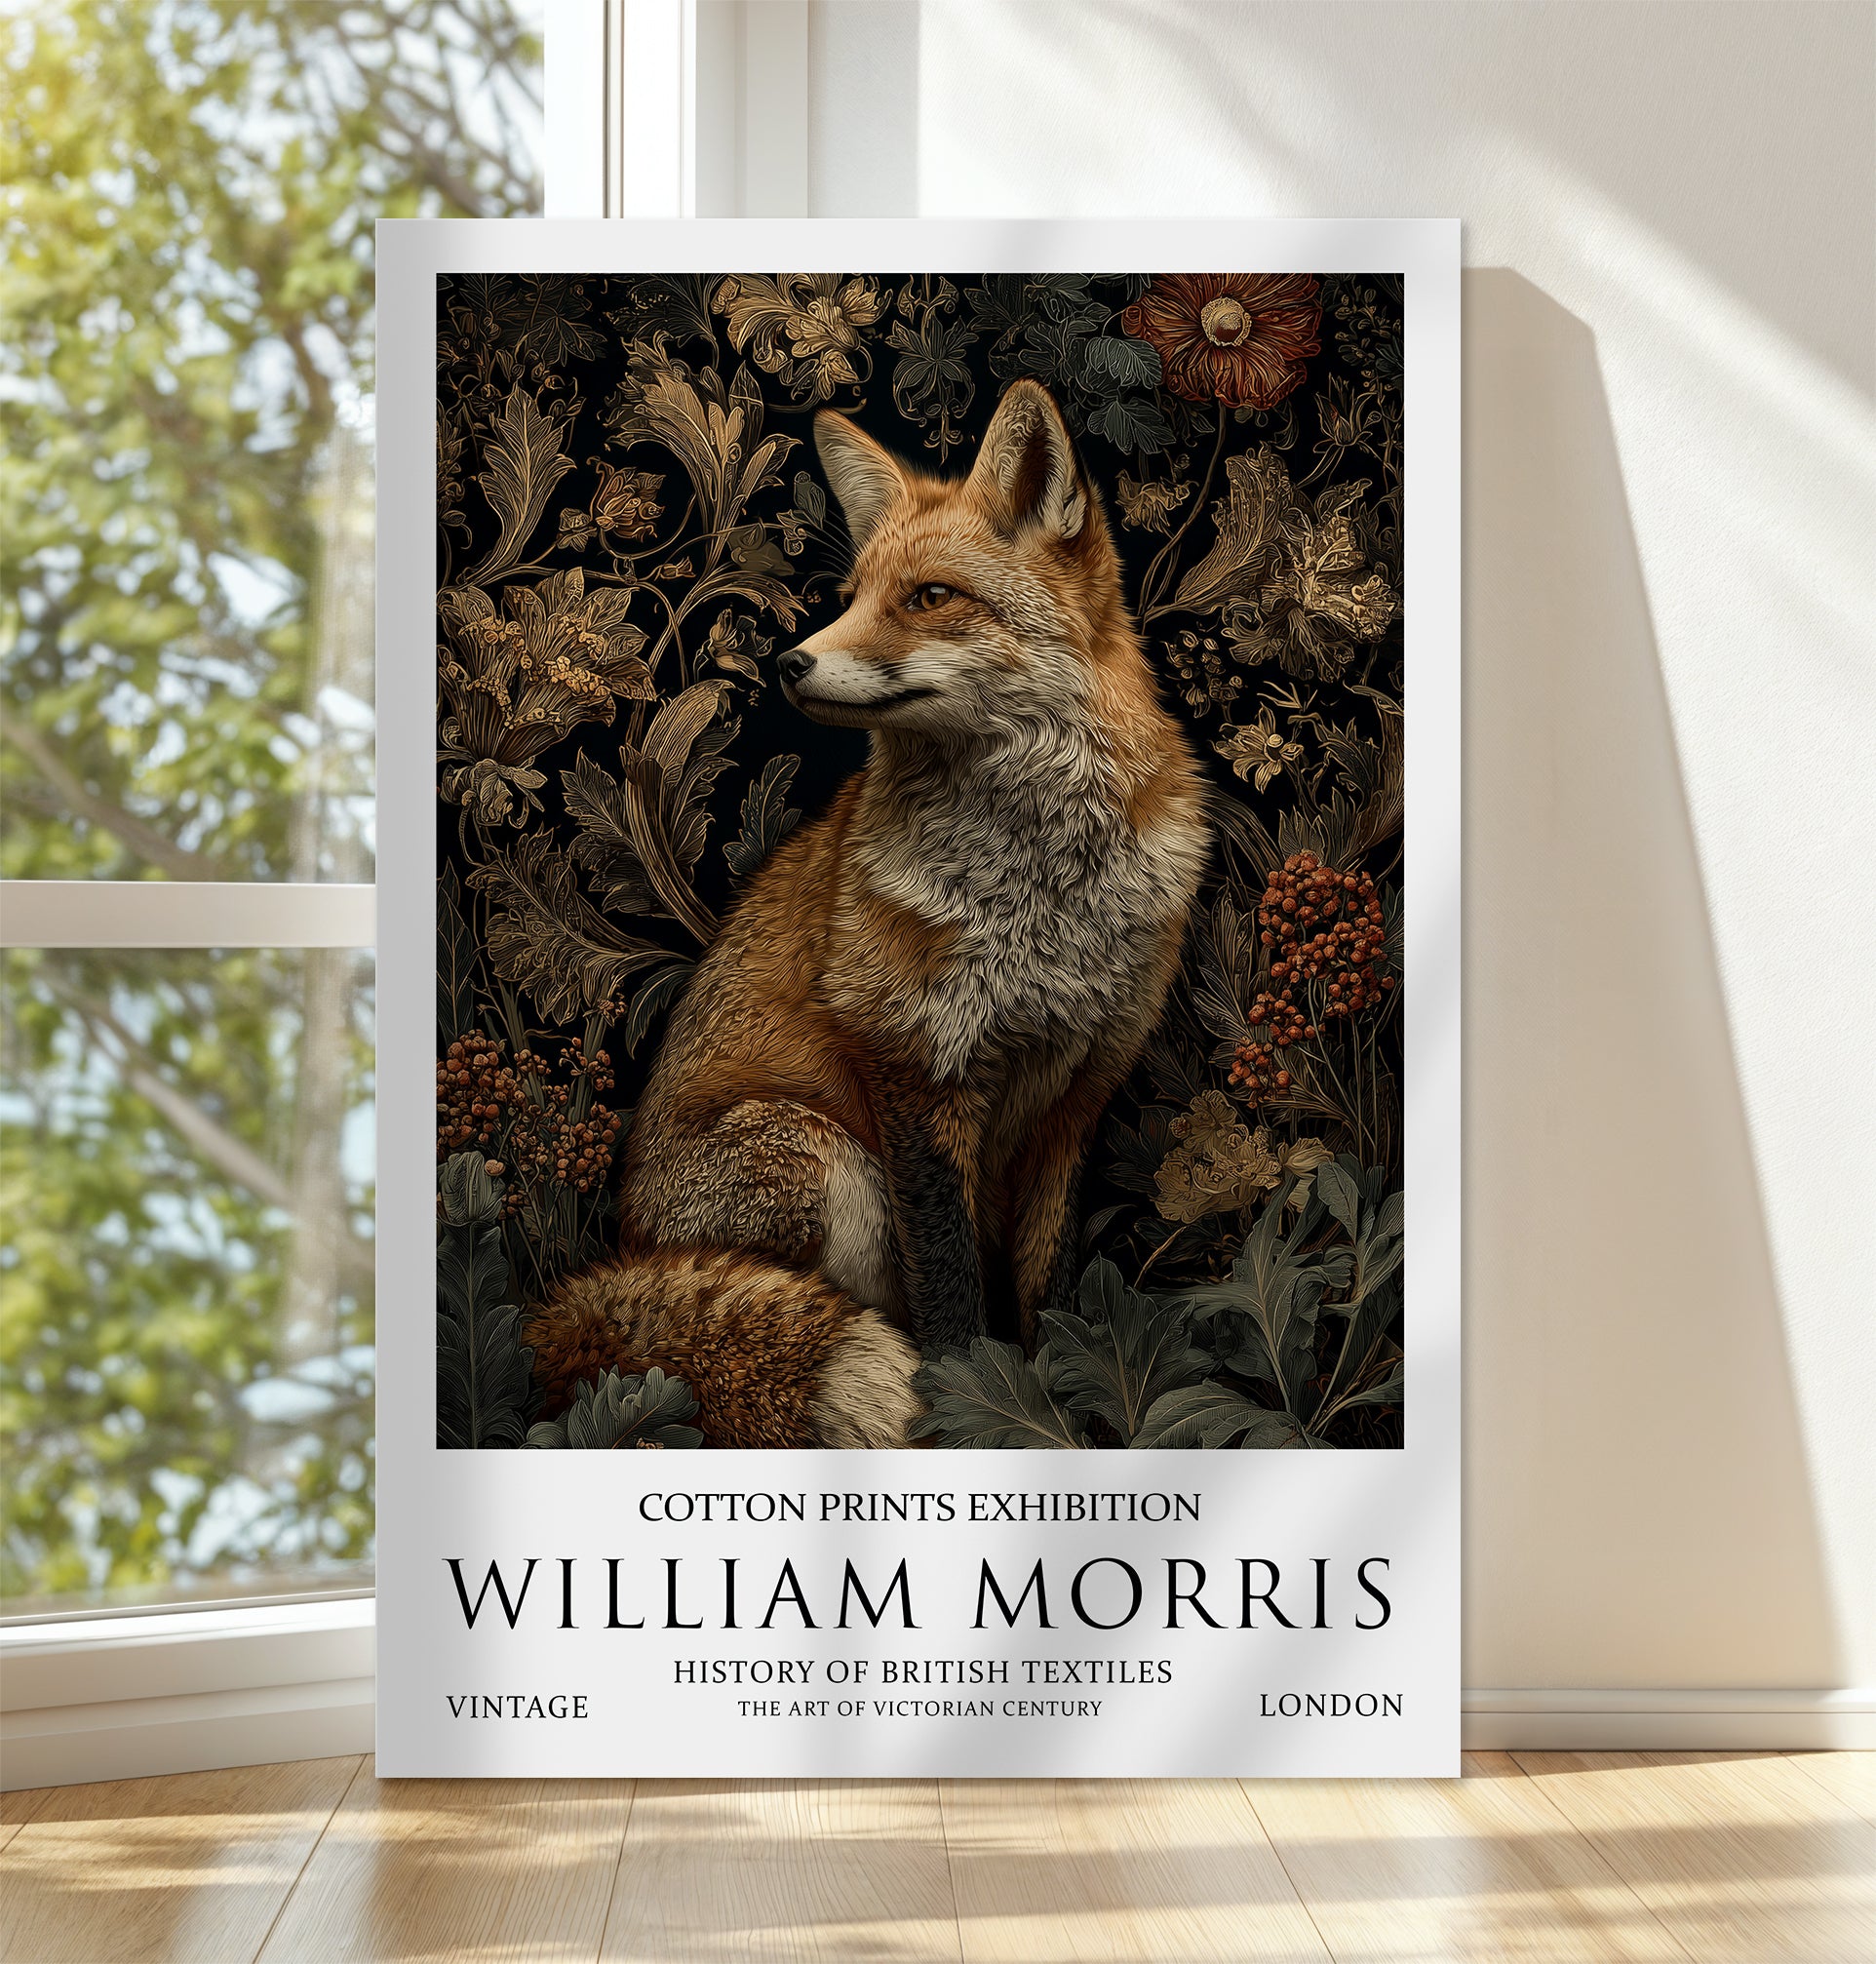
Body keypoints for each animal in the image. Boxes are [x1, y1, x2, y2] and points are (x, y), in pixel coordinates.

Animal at [524, 377, 1210, 1448]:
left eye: (928, 598)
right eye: (850, 600)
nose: (789, 665)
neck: (1042, 896)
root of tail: (620, 1253)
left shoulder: (1079, 1092)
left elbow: (1046, 1291)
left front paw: (1063, 1403)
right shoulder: (913, 1069)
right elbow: (952, 1291)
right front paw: (976, 1405)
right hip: (821, 1157)